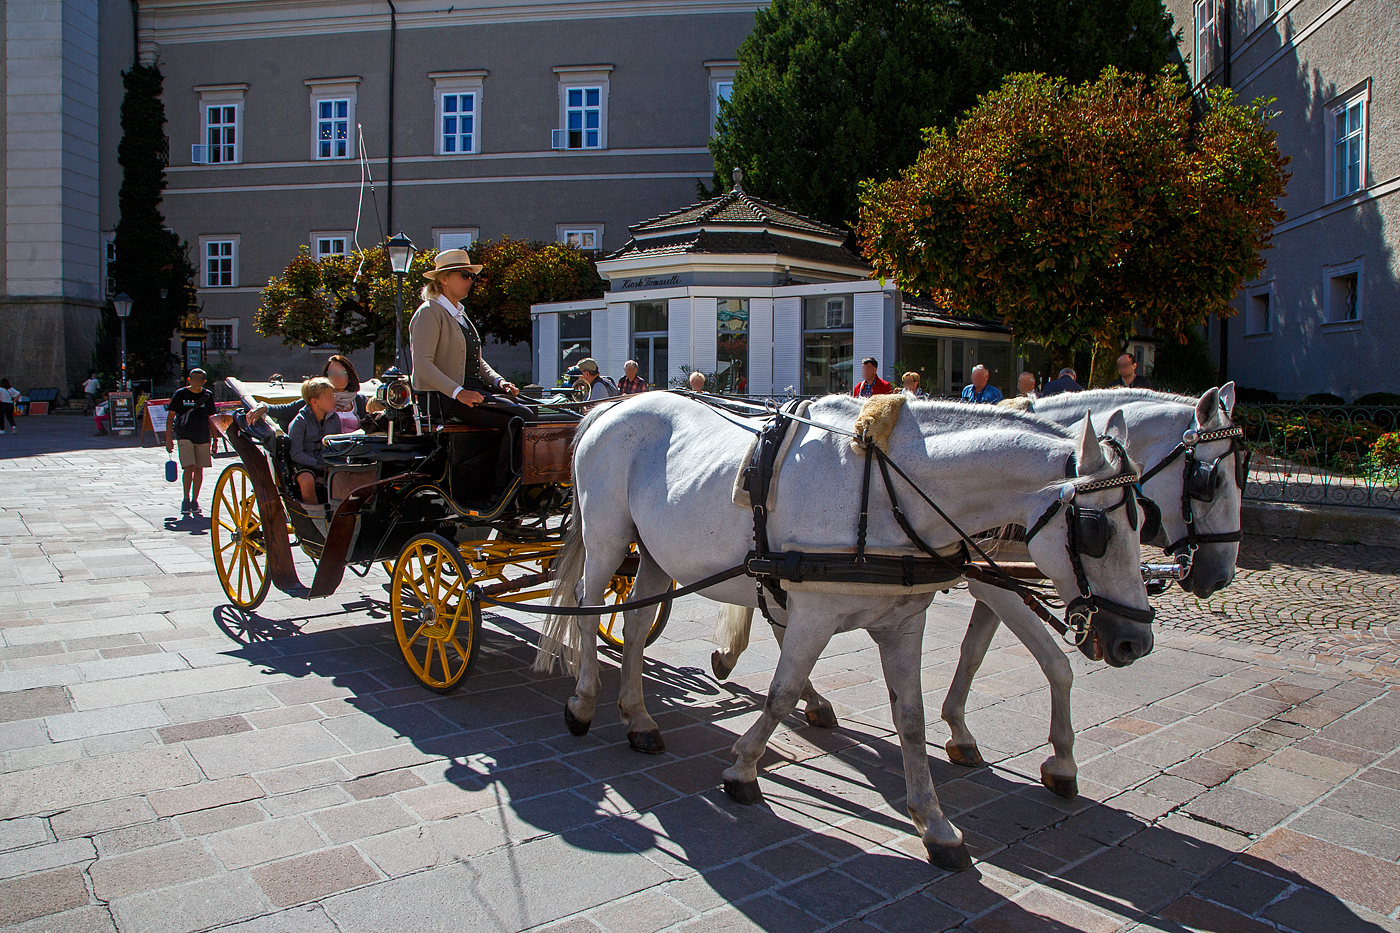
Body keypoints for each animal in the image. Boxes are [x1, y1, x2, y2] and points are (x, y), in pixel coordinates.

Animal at [532, 389, 1148, 862]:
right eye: (1096, 529)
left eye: (1144, 519)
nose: (1135, 640)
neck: (884, 492)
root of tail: (613, 405)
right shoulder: (814, 614)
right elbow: (779, 694)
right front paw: (743, 770)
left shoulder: (904, 623)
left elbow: (910, 718)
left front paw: (935, 825)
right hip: (610, 536)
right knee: (587, 612)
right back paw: (583, 702)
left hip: (658, 553)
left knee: (634, 627)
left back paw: (638, 719)